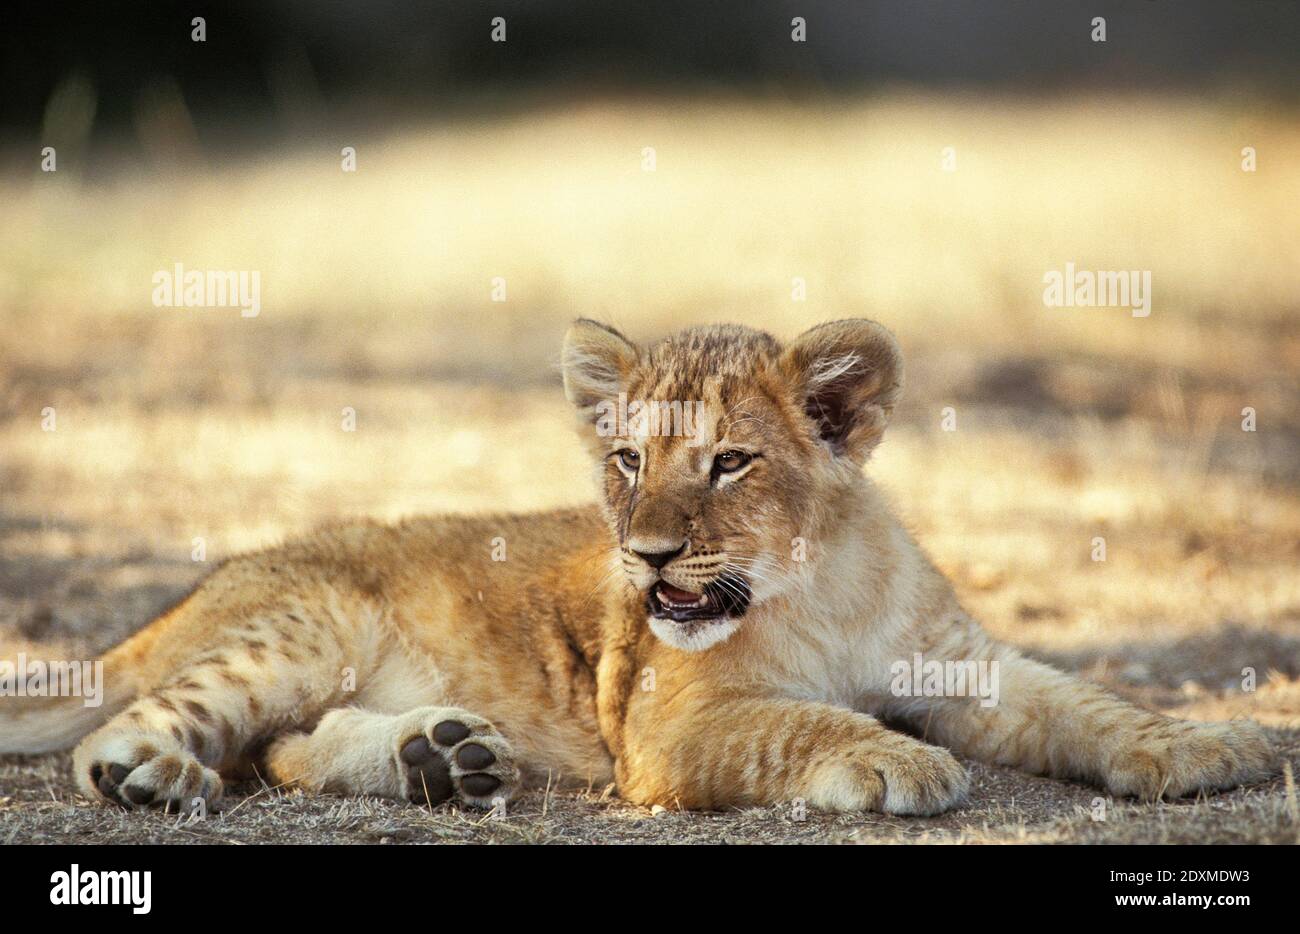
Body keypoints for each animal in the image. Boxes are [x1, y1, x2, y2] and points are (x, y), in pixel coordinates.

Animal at [0, 319, 1276, 815]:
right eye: (624, 459)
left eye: (726, 463)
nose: (648, 553)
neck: (820, 582)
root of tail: (209, 583)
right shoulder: (669, 726)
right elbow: (801, 721)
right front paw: (891, 759)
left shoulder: (969, 662)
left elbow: (1089, 701)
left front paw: (1207, 745)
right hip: (301, 631)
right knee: (140, 730)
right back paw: (154, 778)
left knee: (281, 750)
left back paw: (439, 757)